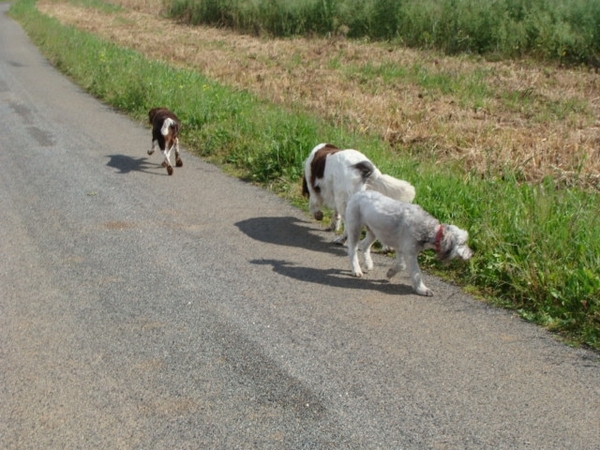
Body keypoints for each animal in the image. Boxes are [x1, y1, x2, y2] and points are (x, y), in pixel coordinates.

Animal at [344, 189, 472, 296]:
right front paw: (422, 289)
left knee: (364, 245)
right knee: (353, 251)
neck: (428, 229)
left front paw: (390, 272)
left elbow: (401, 265)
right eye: (463, 243)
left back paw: (368, 264)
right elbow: (416, 273)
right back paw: (356, 270)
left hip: (373, 232)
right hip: (355, 228)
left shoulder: (402, 249)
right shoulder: (409, 253)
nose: (472, 254)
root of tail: (359, 193)